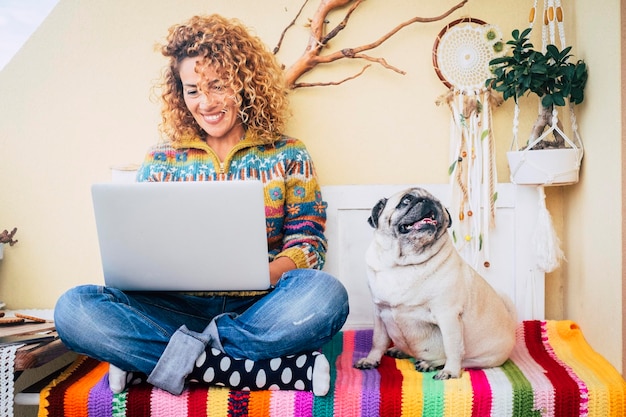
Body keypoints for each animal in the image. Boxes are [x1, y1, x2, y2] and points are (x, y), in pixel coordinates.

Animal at [354, 187, 516, 378]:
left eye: (438, 203)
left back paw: (432, 364)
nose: (429, 201)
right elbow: (377, 341)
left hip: (481, 358)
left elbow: (452, 348)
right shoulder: (379, 313)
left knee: (461, 358)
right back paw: (400, 351)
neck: (403, 264)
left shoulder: (448, 315)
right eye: (406, 200)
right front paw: (371, 360)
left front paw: (450, 372)